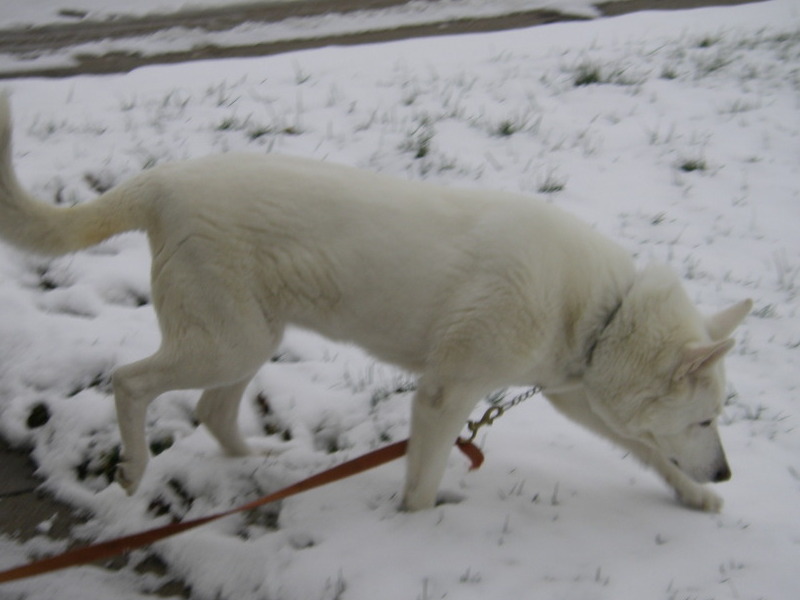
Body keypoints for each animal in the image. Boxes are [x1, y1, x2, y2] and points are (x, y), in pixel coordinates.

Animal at [0, 97, 752, 510]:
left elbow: (647, 450)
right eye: (707, 417)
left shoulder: (576, 397)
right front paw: (416, 527)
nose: (728, 470)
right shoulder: (445, 395)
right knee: (129, 382)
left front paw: (696, 495)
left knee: (214, 411)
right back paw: (134, 470)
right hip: (227, 341)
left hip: (250, 339)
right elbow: (421, 484)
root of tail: (160, 182)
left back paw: (264, 466)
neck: (602, 315)